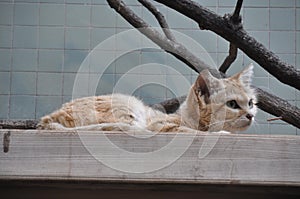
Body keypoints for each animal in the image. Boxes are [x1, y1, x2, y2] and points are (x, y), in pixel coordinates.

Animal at [37, 64, 256, 134]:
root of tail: (46, 120)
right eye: (232, 104)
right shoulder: (163, 126)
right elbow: (196, 134)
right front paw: (220, 134)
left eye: (251, 103)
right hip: (129, 106)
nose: (251, 115)